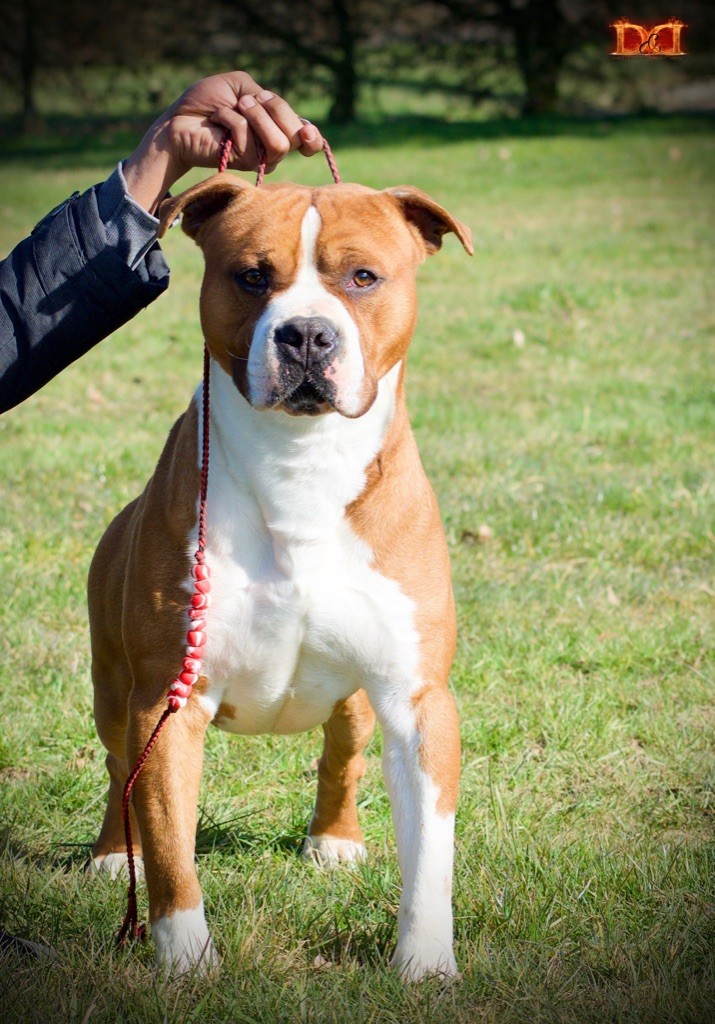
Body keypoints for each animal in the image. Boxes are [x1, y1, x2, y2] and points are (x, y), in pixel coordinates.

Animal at [88, 173, 473, 979]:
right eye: (251, 276)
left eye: (363, 277)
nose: (306, 335)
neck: (301, 463)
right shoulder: (167, 699)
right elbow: (168, 845)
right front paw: (186, 961)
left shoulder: (417, 697)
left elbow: (430, 852)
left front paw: (425, 963)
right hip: (113, 688)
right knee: (118, 770)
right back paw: (110, 852)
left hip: (357, 701)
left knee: (341, 754)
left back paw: (335, 839)